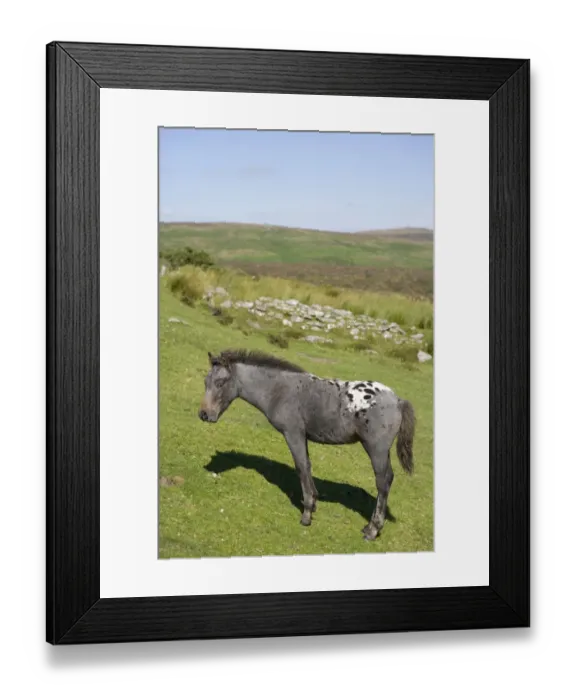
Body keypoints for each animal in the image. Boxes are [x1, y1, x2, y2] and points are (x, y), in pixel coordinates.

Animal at [198, 349, 416, 541]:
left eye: (220, 382)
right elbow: (307, 466)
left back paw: (372, 530)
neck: (279, 390)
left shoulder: (293, 434)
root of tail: (398, 400)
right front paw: (314, 504)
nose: (204, 414)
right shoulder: (302, 436)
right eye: (205, 382)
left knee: (383, 481)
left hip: (376, 449)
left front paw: (307, 514)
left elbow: (301, 467)